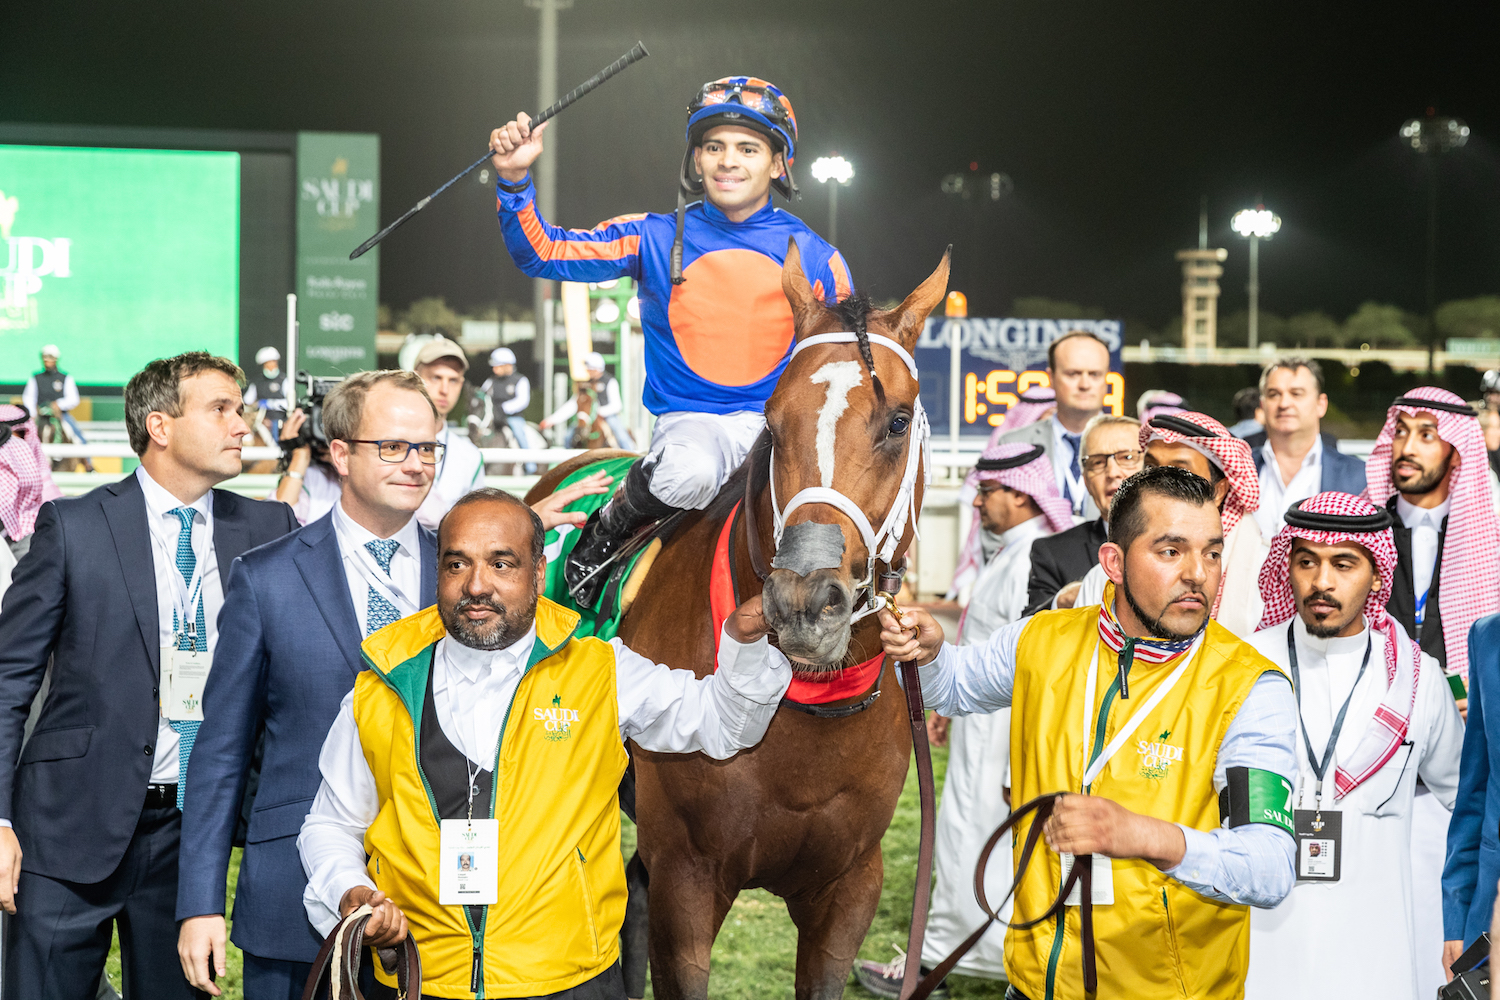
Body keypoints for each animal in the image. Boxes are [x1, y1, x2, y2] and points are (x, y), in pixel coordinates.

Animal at [531, 245, 948, 1000]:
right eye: (773, 422)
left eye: (898, 421)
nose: (806, 600)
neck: (806, 713)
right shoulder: (688, 877)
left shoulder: (851, 887)